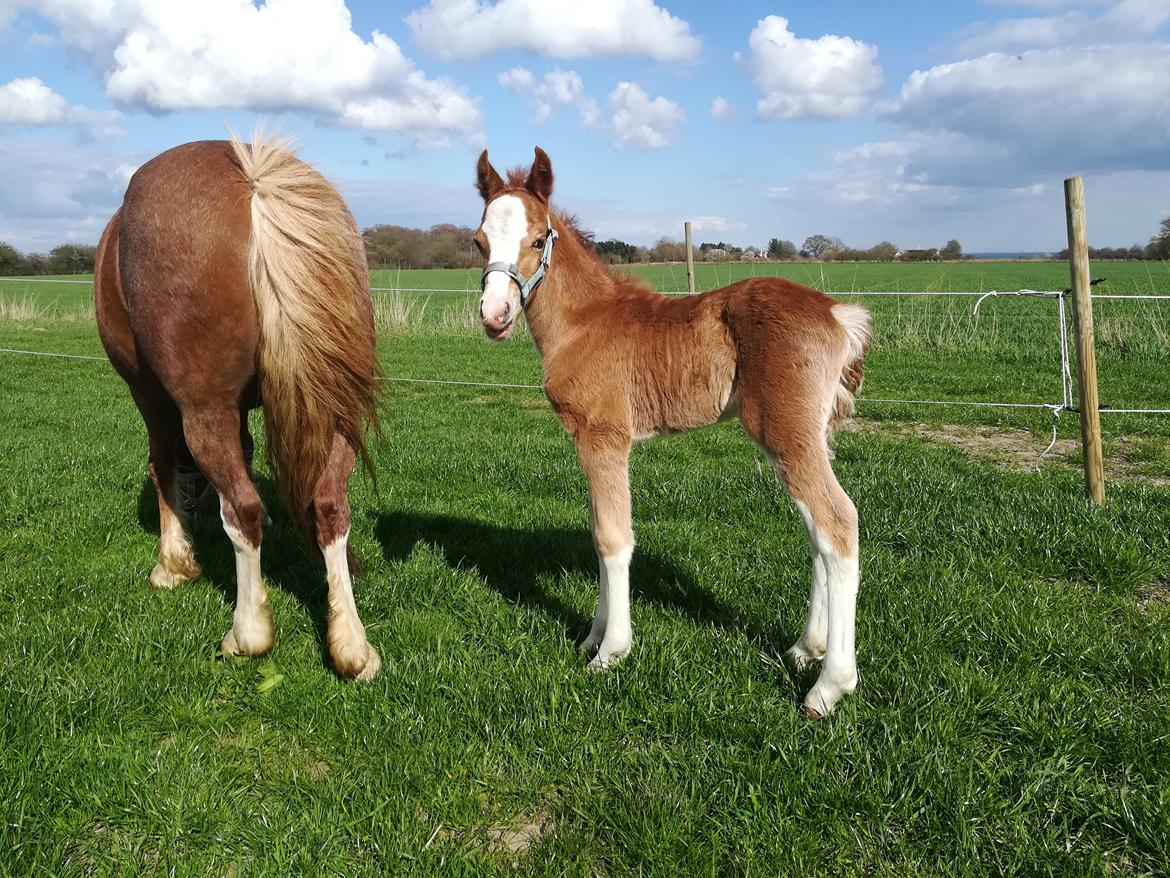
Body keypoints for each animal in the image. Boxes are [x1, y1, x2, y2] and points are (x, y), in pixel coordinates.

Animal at [95, 132, 381, 678]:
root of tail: (253, 181)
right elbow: (245, 457)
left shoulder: (152, 398)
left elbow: (163, 466)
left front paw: (172, 563)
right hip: (335, 408)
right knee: (330, 506)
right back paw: (351, 645)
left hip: (202, 409)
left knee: (240, 510)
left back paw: (248, 633)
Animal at [472, 148, 870, 716]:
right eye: (478, 242)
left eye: (536, 239)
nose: (495, 315)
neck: (585, 322)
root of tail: (839, 314)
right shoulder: (588, 443)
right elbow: (598, 531)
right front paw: (592, 636)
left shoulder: (604, 438)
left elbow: (613, 537)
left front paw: (611, 652)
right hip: (808, 437)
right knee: (817, 530)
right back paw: (804, 648)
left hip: (785, 434)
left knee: (837, 522)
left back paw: (829, 685)